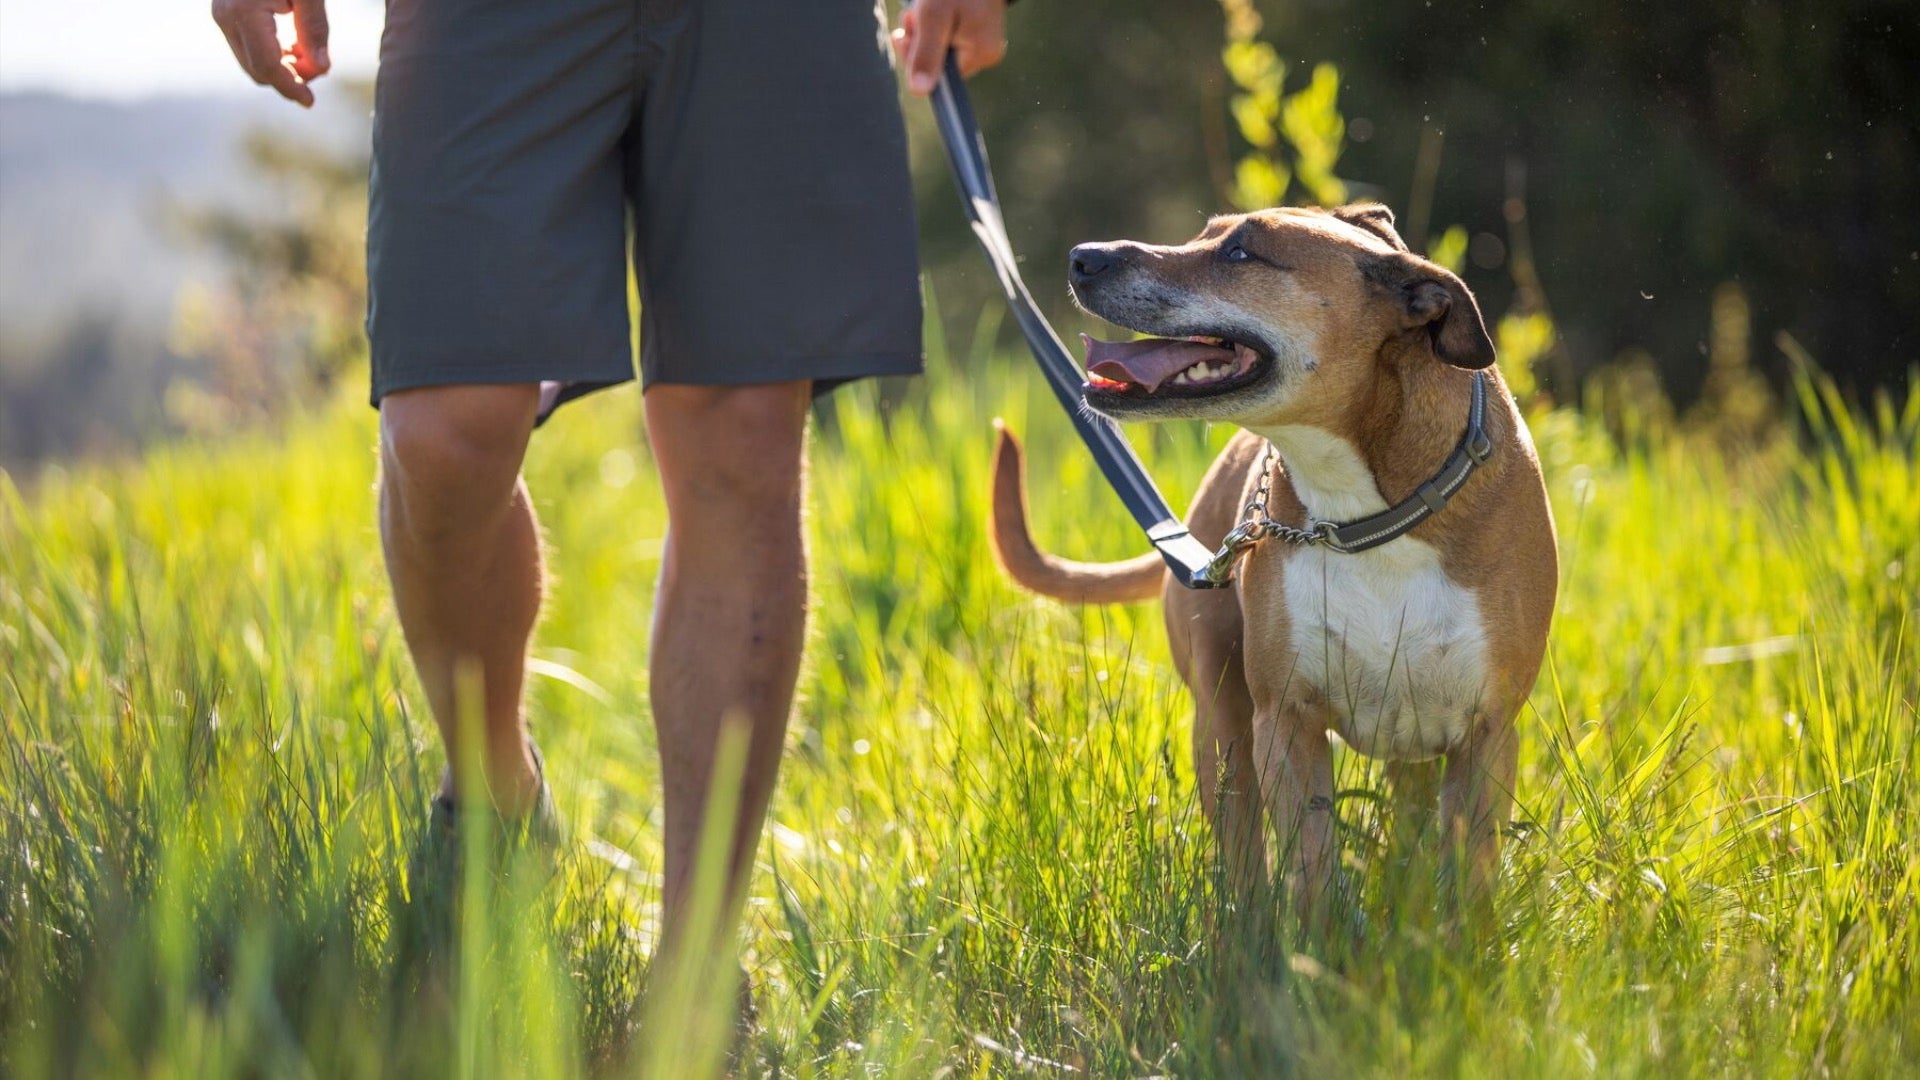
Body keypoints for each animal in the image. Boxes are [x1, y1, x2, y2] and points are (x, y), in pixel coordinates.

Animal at [998, 201, 1551, 907]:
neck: (1367, 513)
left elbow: (1469, 884)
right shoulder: (1286, 723)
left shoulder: (1487, 733)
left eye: (1241, 252)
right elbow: (1309, 872)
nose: (1084, 257)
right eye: (1204, 234)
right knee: (1243, 854)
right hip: (1223, 727)